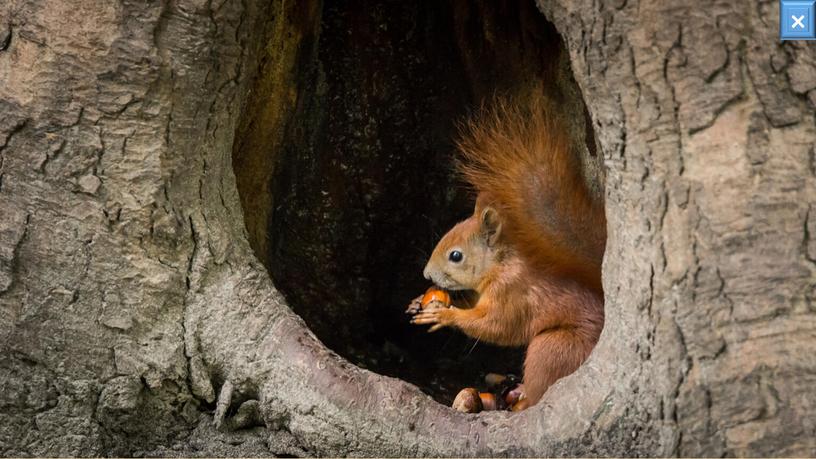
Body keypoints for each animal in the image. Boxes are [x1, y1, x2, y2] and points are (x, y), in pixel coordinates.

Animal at [408, 95, 604, 412]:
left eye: (456, 256)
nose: (426, 274)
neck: (500, 266)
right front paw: (418, 301)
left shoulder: (512, 293)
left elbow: (495, 326)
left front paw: (445, 316)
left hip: (553, 348)